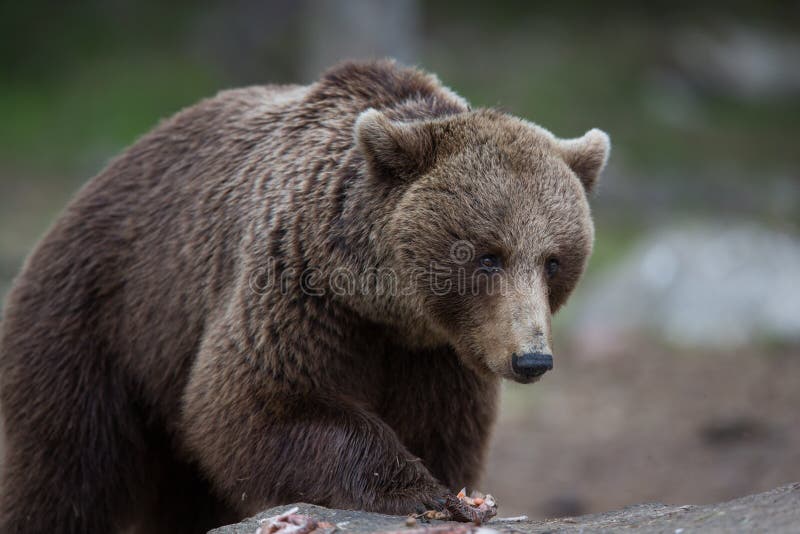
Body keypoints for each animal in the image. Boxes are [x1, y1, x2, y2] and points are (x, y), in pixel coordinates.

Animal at [0, 60, 608, 532]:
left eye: (554, 260)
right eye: (487, 255)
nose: (531, 358)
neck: (388, 309)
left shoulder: (438, 355)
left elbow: (442, 432)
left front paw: (450, 490)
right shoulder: (296, 287)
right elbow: (260, 402)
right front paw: (420, 491)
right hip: (104, 318)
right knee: (67, 467)